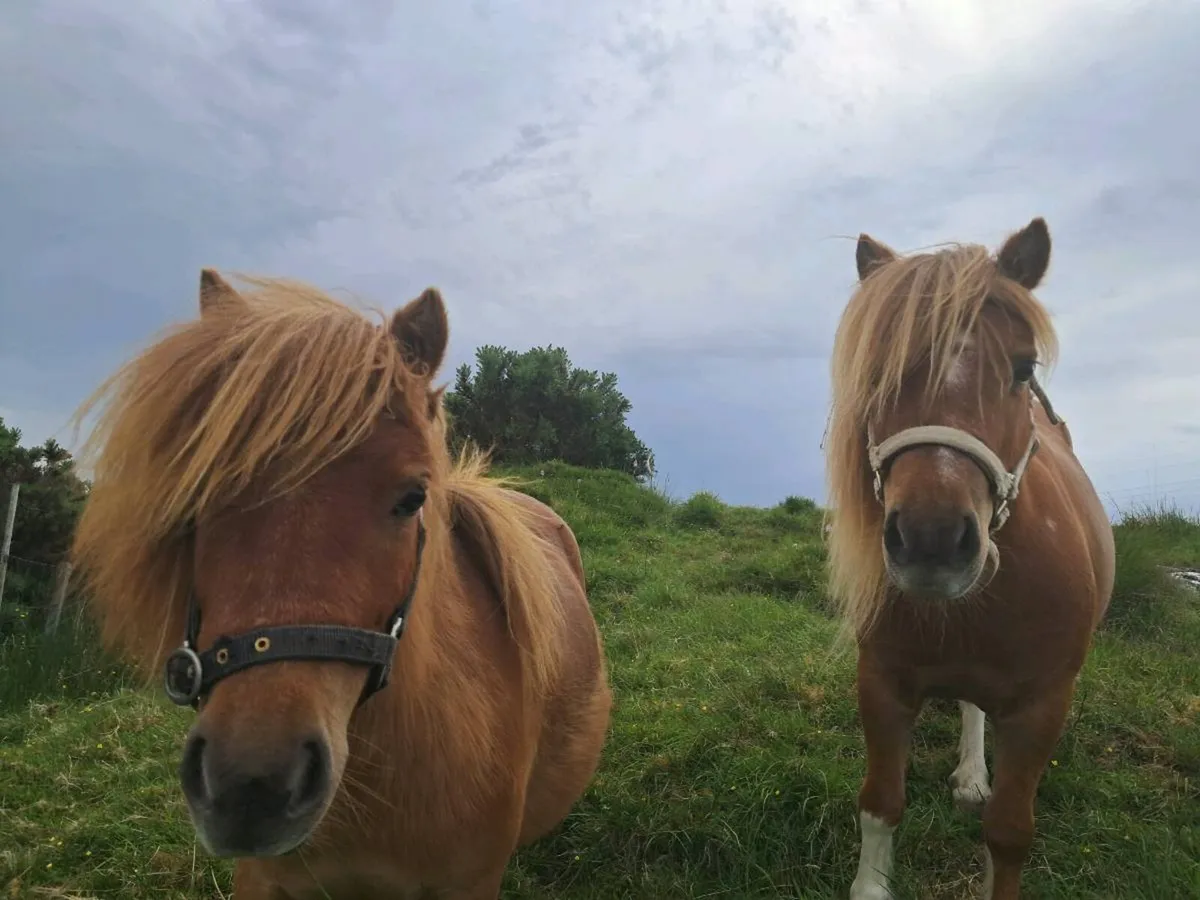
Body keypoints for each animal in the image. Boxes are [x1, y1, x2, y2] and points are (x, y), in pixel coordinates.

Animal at [822, 218, 1115, 899]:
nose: (931, 537)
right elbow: (881, 802)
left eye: (1023, 367)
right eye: (877, 372)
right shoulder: (882, 682)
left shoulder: (1041, 707)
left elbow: (1008, 833)